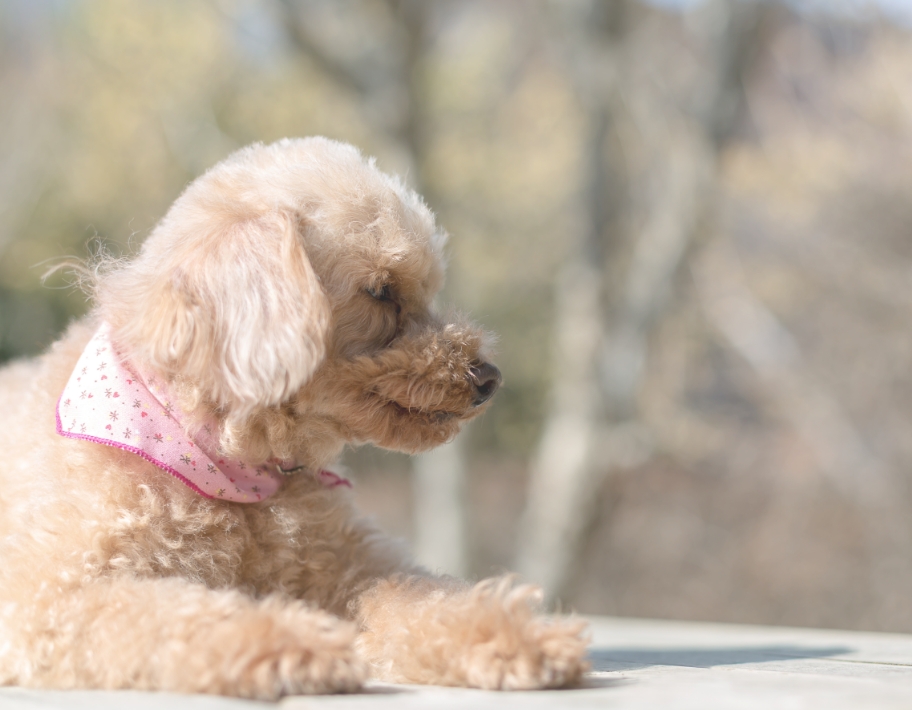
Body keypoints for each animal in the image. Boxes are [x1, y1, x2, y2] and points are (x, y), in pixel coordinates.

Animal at [0, 138, 588, 700]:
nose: (489, 378)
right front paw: (293, 645)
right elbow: (176, 615)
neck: (233, 461)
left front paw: (520, 636)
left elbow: (424, 598)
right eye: (381, 290)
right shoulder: (50, 598)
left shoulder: (358, 567)